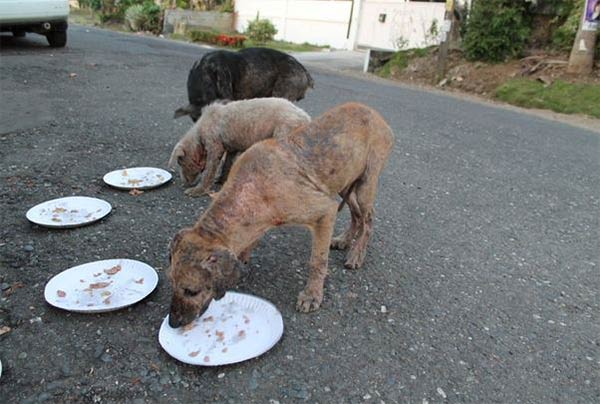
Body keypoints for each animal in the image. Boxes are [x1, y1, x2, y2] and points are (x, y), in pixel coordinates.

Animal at [168, 103, 394, 328]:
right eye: (171, 281)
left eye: (191, 291)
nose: (173, 323)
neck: (252, 188)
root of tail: (377, 115)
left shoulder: (325, 211)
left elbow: (318, 261)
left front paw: (312, 295)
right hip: (344, 180)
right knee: (356, 214)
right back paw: (344, 240)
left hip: (366, 183)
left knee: (368, 219)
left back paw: (357, 253)